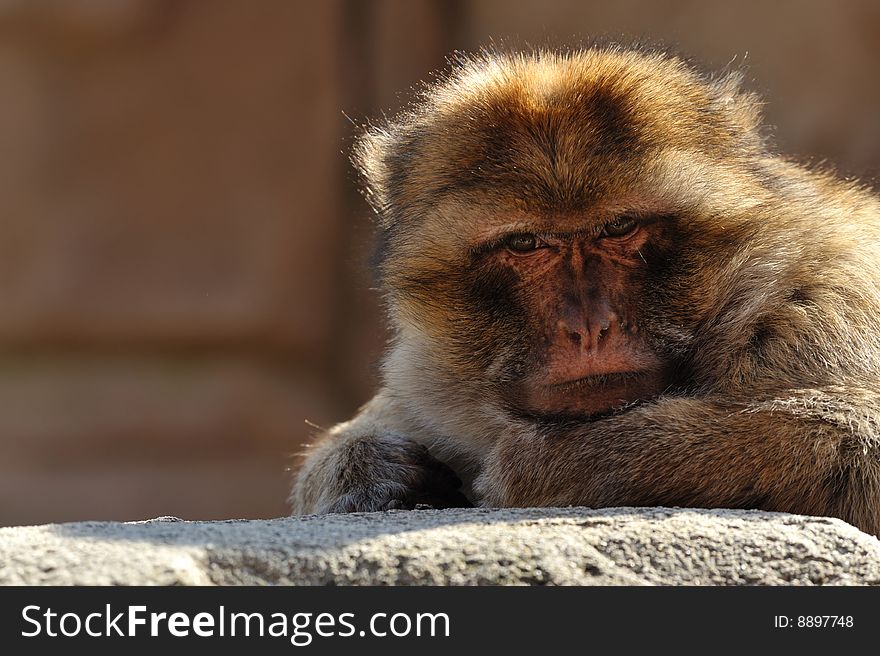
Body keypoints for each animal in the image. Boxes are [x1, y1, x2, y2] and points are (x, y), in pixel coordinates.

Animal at [290, 46, 880, 540]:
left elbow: (866, 444)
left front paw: (540, 464)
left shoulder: (822, 310)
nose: (588, 327)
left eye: (618, 228)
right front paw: (368, 466)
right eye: (525, 243)